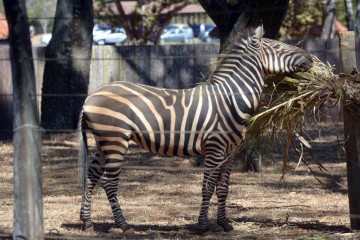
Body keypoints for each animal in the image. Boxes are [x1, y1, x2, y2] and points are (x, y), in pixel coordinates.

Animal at [78, 25, 312, 233]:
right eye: (278, 46)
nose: (311, 58)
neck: (231, 99)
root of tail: (90, 96)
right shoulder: (215, 148)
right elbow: (207, 187)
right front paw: (202, 226)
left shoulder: (230, 153)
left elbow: (223, 189)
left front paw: (224, 224)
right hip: (115, 138)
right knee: (109, 181)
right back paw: (123, 225)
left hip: (103, 141)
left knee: (92, 174)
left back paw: (87, 221)